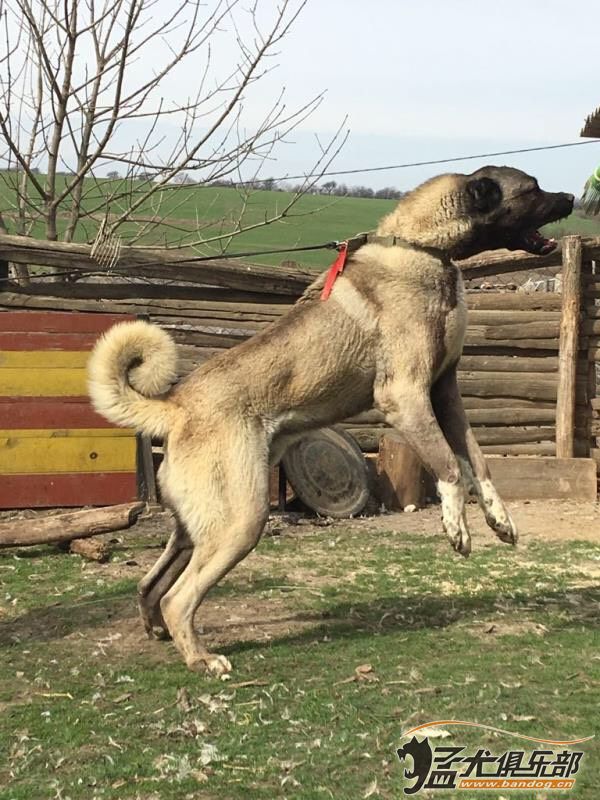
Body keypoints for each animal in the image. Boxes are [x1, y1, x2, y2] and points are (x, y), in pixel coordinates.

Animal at [88, 166, 572, 672]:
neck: (424, 247)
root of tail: (177, 405)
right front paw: (455, 526)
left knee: (150, 585)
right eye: (533, 189)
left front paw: (499, 519)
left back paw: (160, 633)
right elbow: (448, 466)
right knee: (178, 597)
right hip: (242, 519)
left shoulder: (445, 391)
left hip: (196, 528)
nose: (572, 198)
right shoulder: (405, 395)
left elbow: (477, 461)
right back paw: (203, 659)